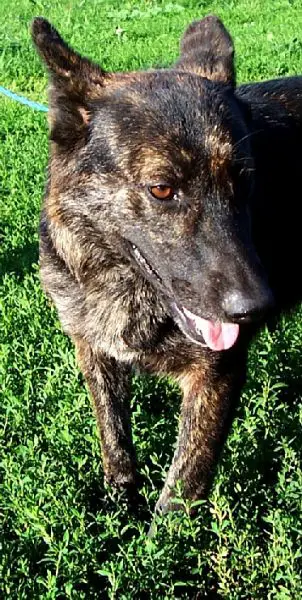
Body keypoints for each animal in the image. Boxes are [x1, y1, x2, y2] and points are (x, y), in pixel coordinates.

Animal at [31, 16, 302, 516]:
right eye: (161, 189)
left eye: (245, 181)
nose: (257, 308)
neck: (121, 282)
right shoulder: (93, 350)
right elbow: (115, 440)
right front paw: (120, 511)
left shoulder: (214, 377)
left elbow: (179, 490)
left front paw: (159, 536)